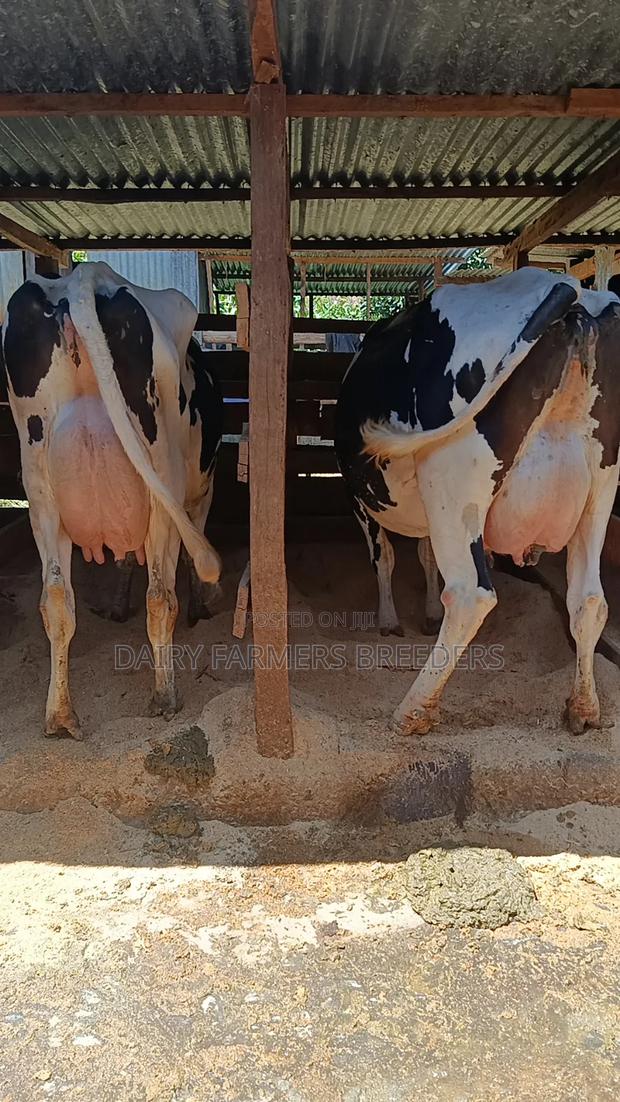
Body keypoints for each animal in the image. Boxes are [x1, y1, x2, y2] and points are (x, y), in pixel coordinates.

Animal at [1, 261, 222, 739]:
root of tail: (85, 277)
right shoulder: (202, 491)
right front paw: (204, 602)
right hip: (160, 484)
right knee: (160, 597)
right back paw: (165, 697)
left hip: (40, 490)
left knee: (56, 598)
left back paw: (60, 717)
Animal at [335, 268, 620, 737]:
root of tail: (573, 291)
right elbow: (423, 556)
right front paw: (426, 613)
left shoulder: (359, 499)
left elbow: (386, 558)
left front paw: (389, 621)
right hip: (601, 486)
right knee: (589, 599)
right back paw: (583, 708)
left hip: (453, 477)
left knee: (471, 595)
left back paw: (412, 710)